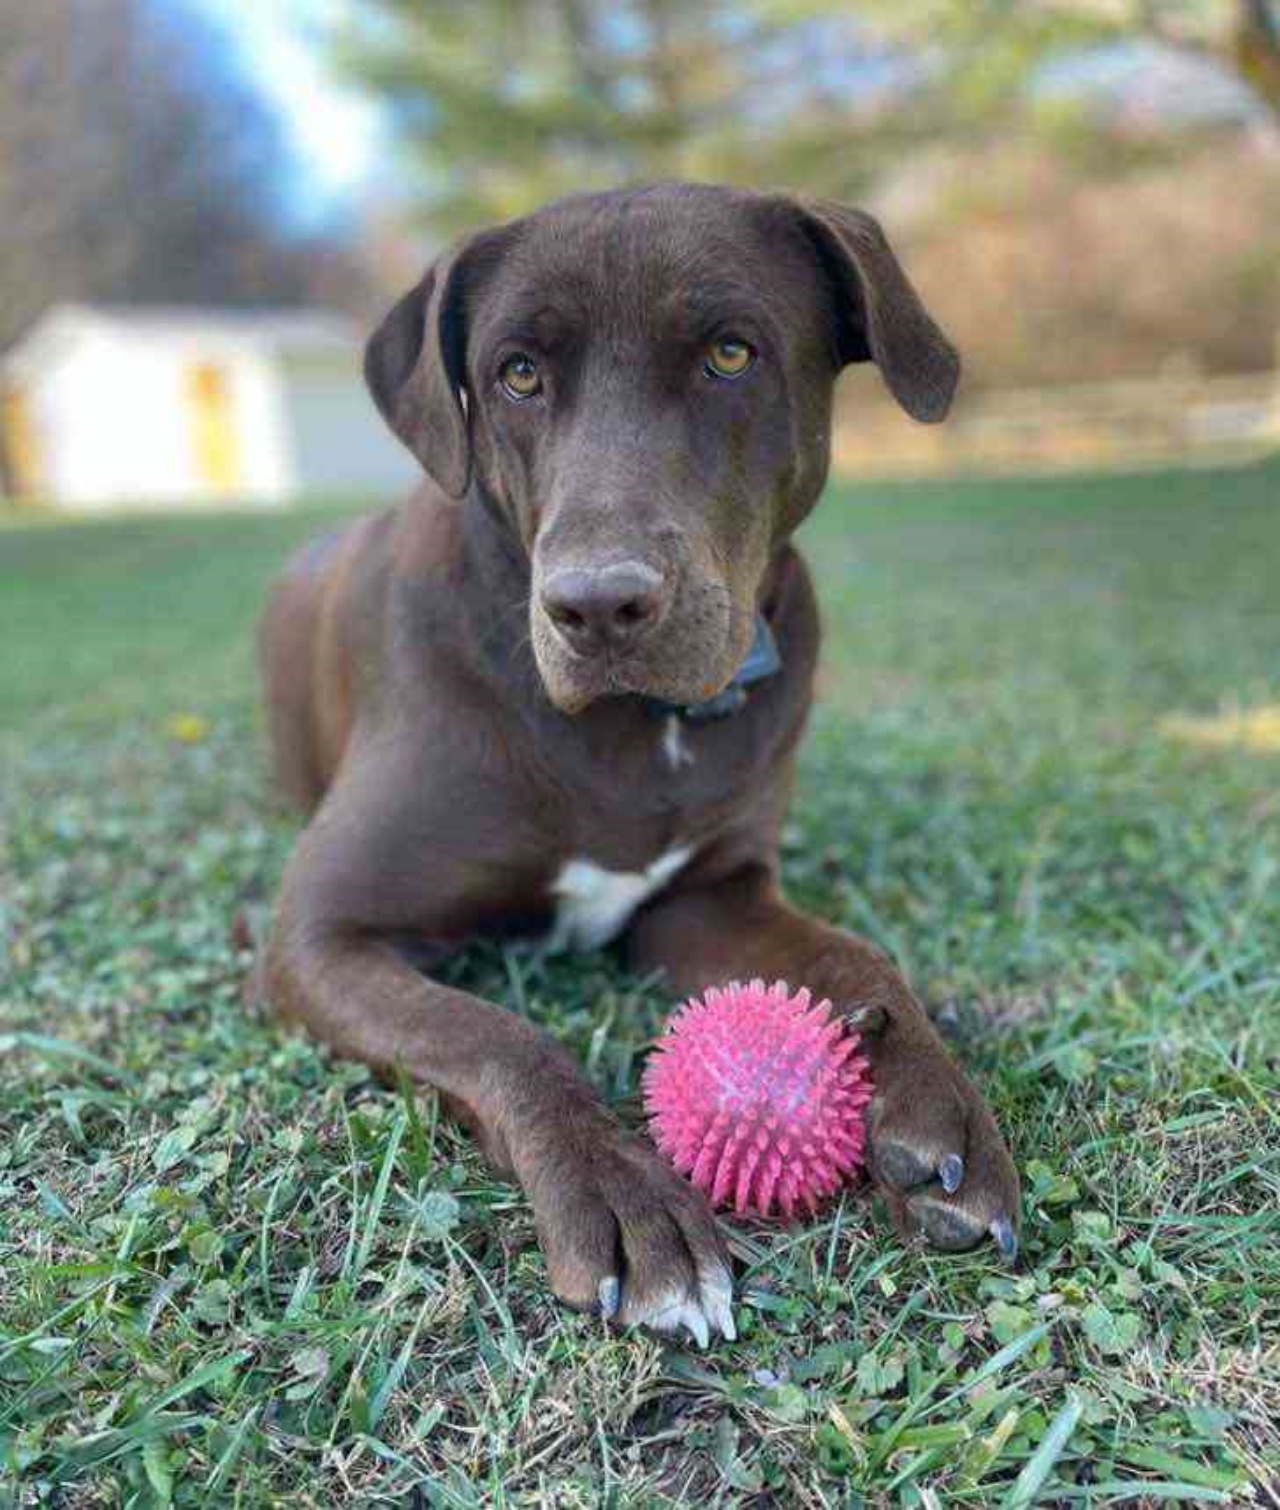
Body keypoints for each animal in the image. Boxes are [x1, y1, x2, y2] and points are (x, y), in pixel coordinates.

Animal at [259, 179, 1020, 1346]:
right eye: (517, 372)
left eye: (729, 354)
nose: (597, 604)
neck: (634, 728)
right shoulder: (315, 936)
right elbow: (495, 1034)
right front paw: (621, 1196)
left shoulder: (708, 897)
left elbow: (858, 958)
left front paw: (938, 1105)